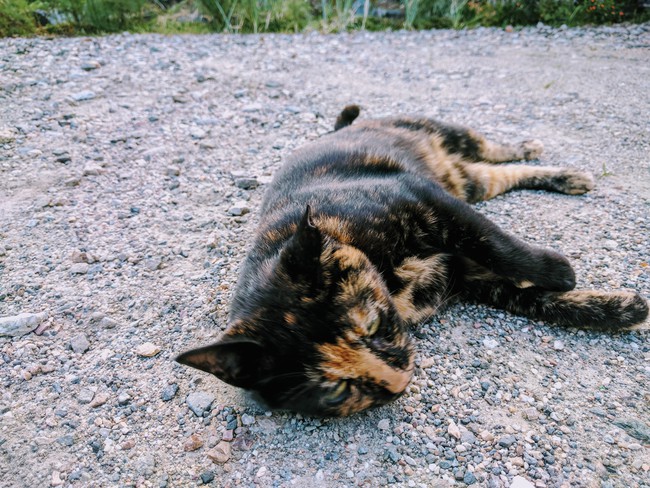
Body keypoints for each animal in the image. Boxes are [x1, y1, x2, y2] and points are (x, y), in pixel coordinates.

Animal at [177, 105, 649, 417]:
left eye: (371, 325)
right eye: (335, 391)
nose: (400, 381)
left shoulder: (424, 200)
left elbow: (497, 244)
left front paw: (561, 272)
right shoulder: (468, 274)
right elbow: (535, 300)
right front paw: (620, 310)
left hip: (443, 137)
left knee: (495, 150)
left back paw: (537, 152)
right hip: (471, 182)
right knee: (500, 174)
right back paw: (566, 177)